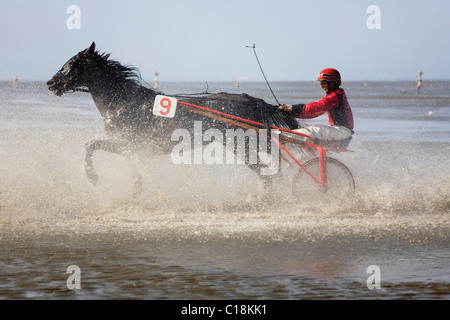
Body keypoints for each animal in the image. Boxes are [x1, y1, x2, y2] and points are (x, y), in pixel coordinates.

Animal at [47, 42, 298, 198]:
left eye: (72, 63)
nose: (50, 83)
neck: (123, 102)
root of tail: (253, 101)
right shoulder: (132, 148)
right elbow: (134, 174)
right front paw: (135, 194)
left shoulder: (127, 143)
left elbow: (90, 145)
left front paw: (92, 177)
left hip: (242, 146)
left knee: (265, 174)